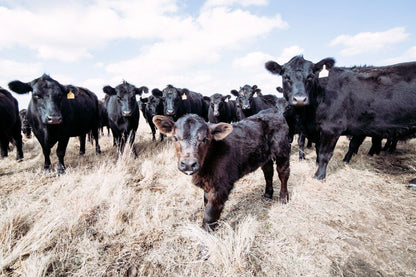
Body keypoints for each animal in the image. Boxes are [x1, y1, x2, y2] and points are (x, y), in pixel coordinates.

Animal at [152, 108, 290, 231]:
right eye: (175, 138)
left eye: (205, 139)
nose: (188, 164)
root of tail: (273, 111)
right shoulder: (208, 184)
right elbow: (206, 201)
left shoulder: (221, 185)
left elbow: (210, 211)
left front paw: (206, 232)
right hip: (264, 156)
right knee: (268, 171)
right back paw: (268, 194)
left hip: (282, 151)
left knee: (283, 173)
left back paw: (283, 198)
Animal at [264, 56, 416, 180]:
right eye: (286, 77)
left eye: (311, 76)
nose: (300, 99)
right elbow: (318, 150)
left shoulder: (332, 128)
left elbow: (325, 153)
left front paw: (319, 176)